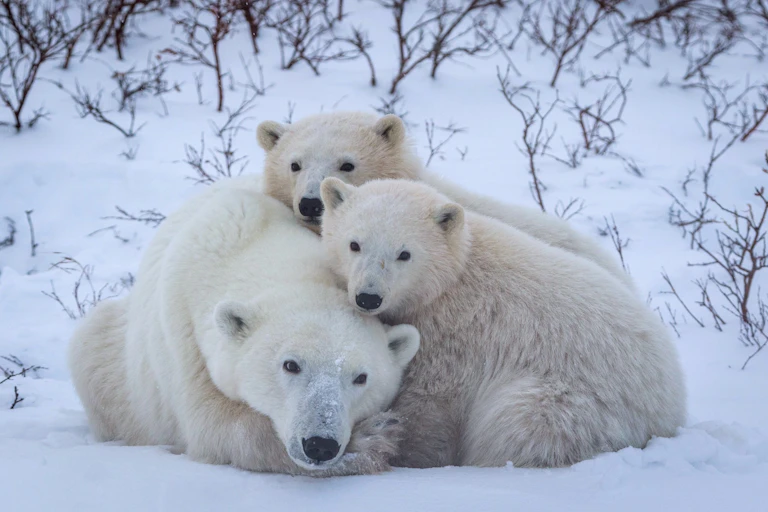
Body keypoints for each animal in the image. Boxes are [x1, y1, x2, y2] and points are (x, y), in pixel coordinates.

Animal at [68, 176, 421, 476]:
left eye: (361, 377)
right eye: (290, 365)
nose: (320, 445)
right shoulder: (185, 336)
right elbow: (214, 426)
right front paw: (374, 437)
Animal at [318, 177, 686, 469]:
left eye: (404, 254)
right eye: (354, 244)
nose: (368, 297)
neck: (451, 279)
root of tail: (671, 408)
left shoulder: (454, 336)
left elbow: (429, 405)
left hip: (572, 406)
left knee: (515, 426)